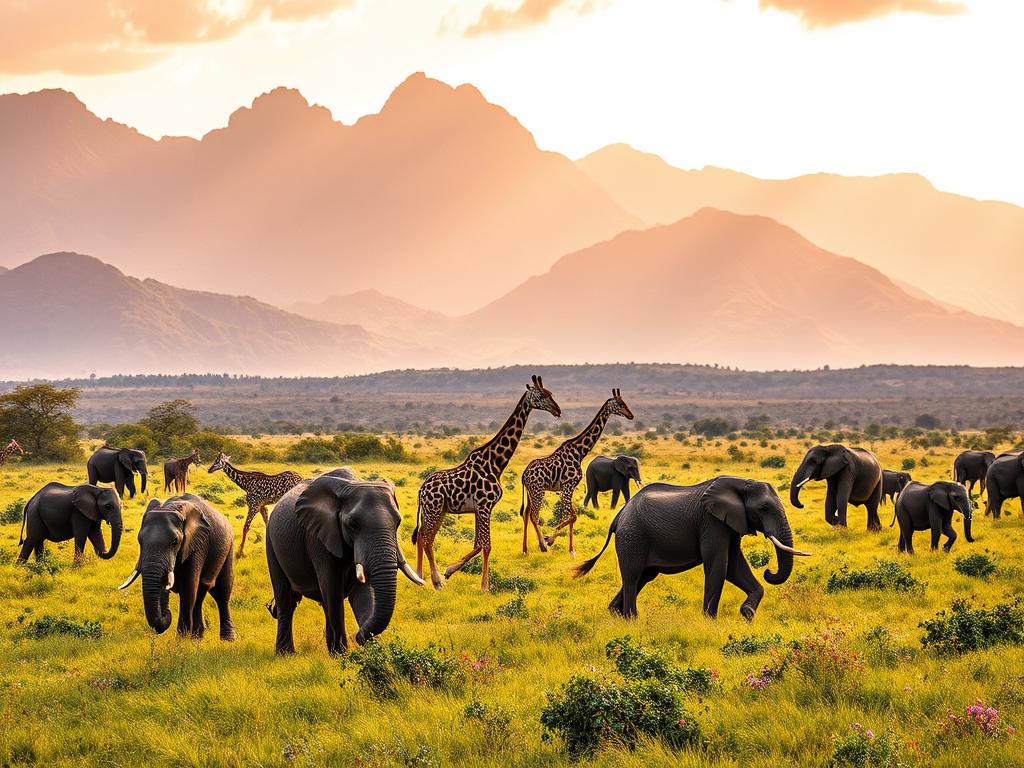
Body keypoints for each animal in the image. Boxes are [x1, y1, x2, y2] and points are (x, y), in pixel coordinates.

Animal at [117, 494, 235, 639]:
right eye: (140, 540)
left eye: (175, 541)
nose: (166, 612)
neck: (169, 507)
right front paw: (185, 638)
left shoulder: (197, 545)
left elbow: (188, 589)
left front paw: (182, 640)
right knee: (201, 593)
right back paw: (197, 638)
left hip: (229, 546)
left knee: (222, 591)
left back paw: (228, 639)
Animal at [266, 468, 425, 654]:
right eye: (352, 524)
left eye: (398, 522)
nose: (359, 636)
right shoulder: (318, 538)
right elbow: (333, 590)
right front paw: (342, 654)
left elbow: (363, 593)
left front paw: (368, 650)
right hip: (271, 541)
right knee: (286, 599)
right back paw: (286, 653)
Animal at [413, 375, 561, 591]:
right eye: (541, 395)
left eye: (551, 393)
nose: (558, 410)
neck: (495, 464)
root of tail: (421, 490)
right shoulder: (485, 506)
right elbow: (487, 545)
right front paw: (484, 586)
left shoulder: (478, 508)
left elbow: (477, 544)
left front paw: (450, 570)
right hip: (434, 510)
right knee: (426, 538)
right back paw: (436, 581)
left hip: (437, 511)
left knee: (422, 537)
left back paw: (420, 577)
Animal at [520, 389, 634, 556]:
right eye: (620, 404)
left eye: (624, 403)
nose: (630, 415)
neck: (580, 452)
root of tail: (524, 475)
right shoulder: (568, 486)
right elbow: (571, 516)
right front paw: (550, 540)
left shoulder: (569, 488)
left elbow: (569, 516)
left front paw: (571, 549)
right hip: (538, 491)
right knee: (534, 515)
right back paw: (542, 545)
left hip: (530, 492)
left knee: (527, 514)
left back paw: (525, 549)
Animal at [573, 476, 809, 620]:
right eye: (764, 508)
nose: (769, 571)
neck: (742, 484)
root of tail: (618, 516)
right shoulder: (712, 523)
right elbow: (719, 565)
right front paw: (710, 620)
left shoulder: (730, 524)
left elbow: (734, 566)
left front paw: (747, 613)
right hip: (632, 537)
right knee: (632, 576)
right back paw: (632, 619)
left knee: (642, 577)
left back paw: (615, 614)